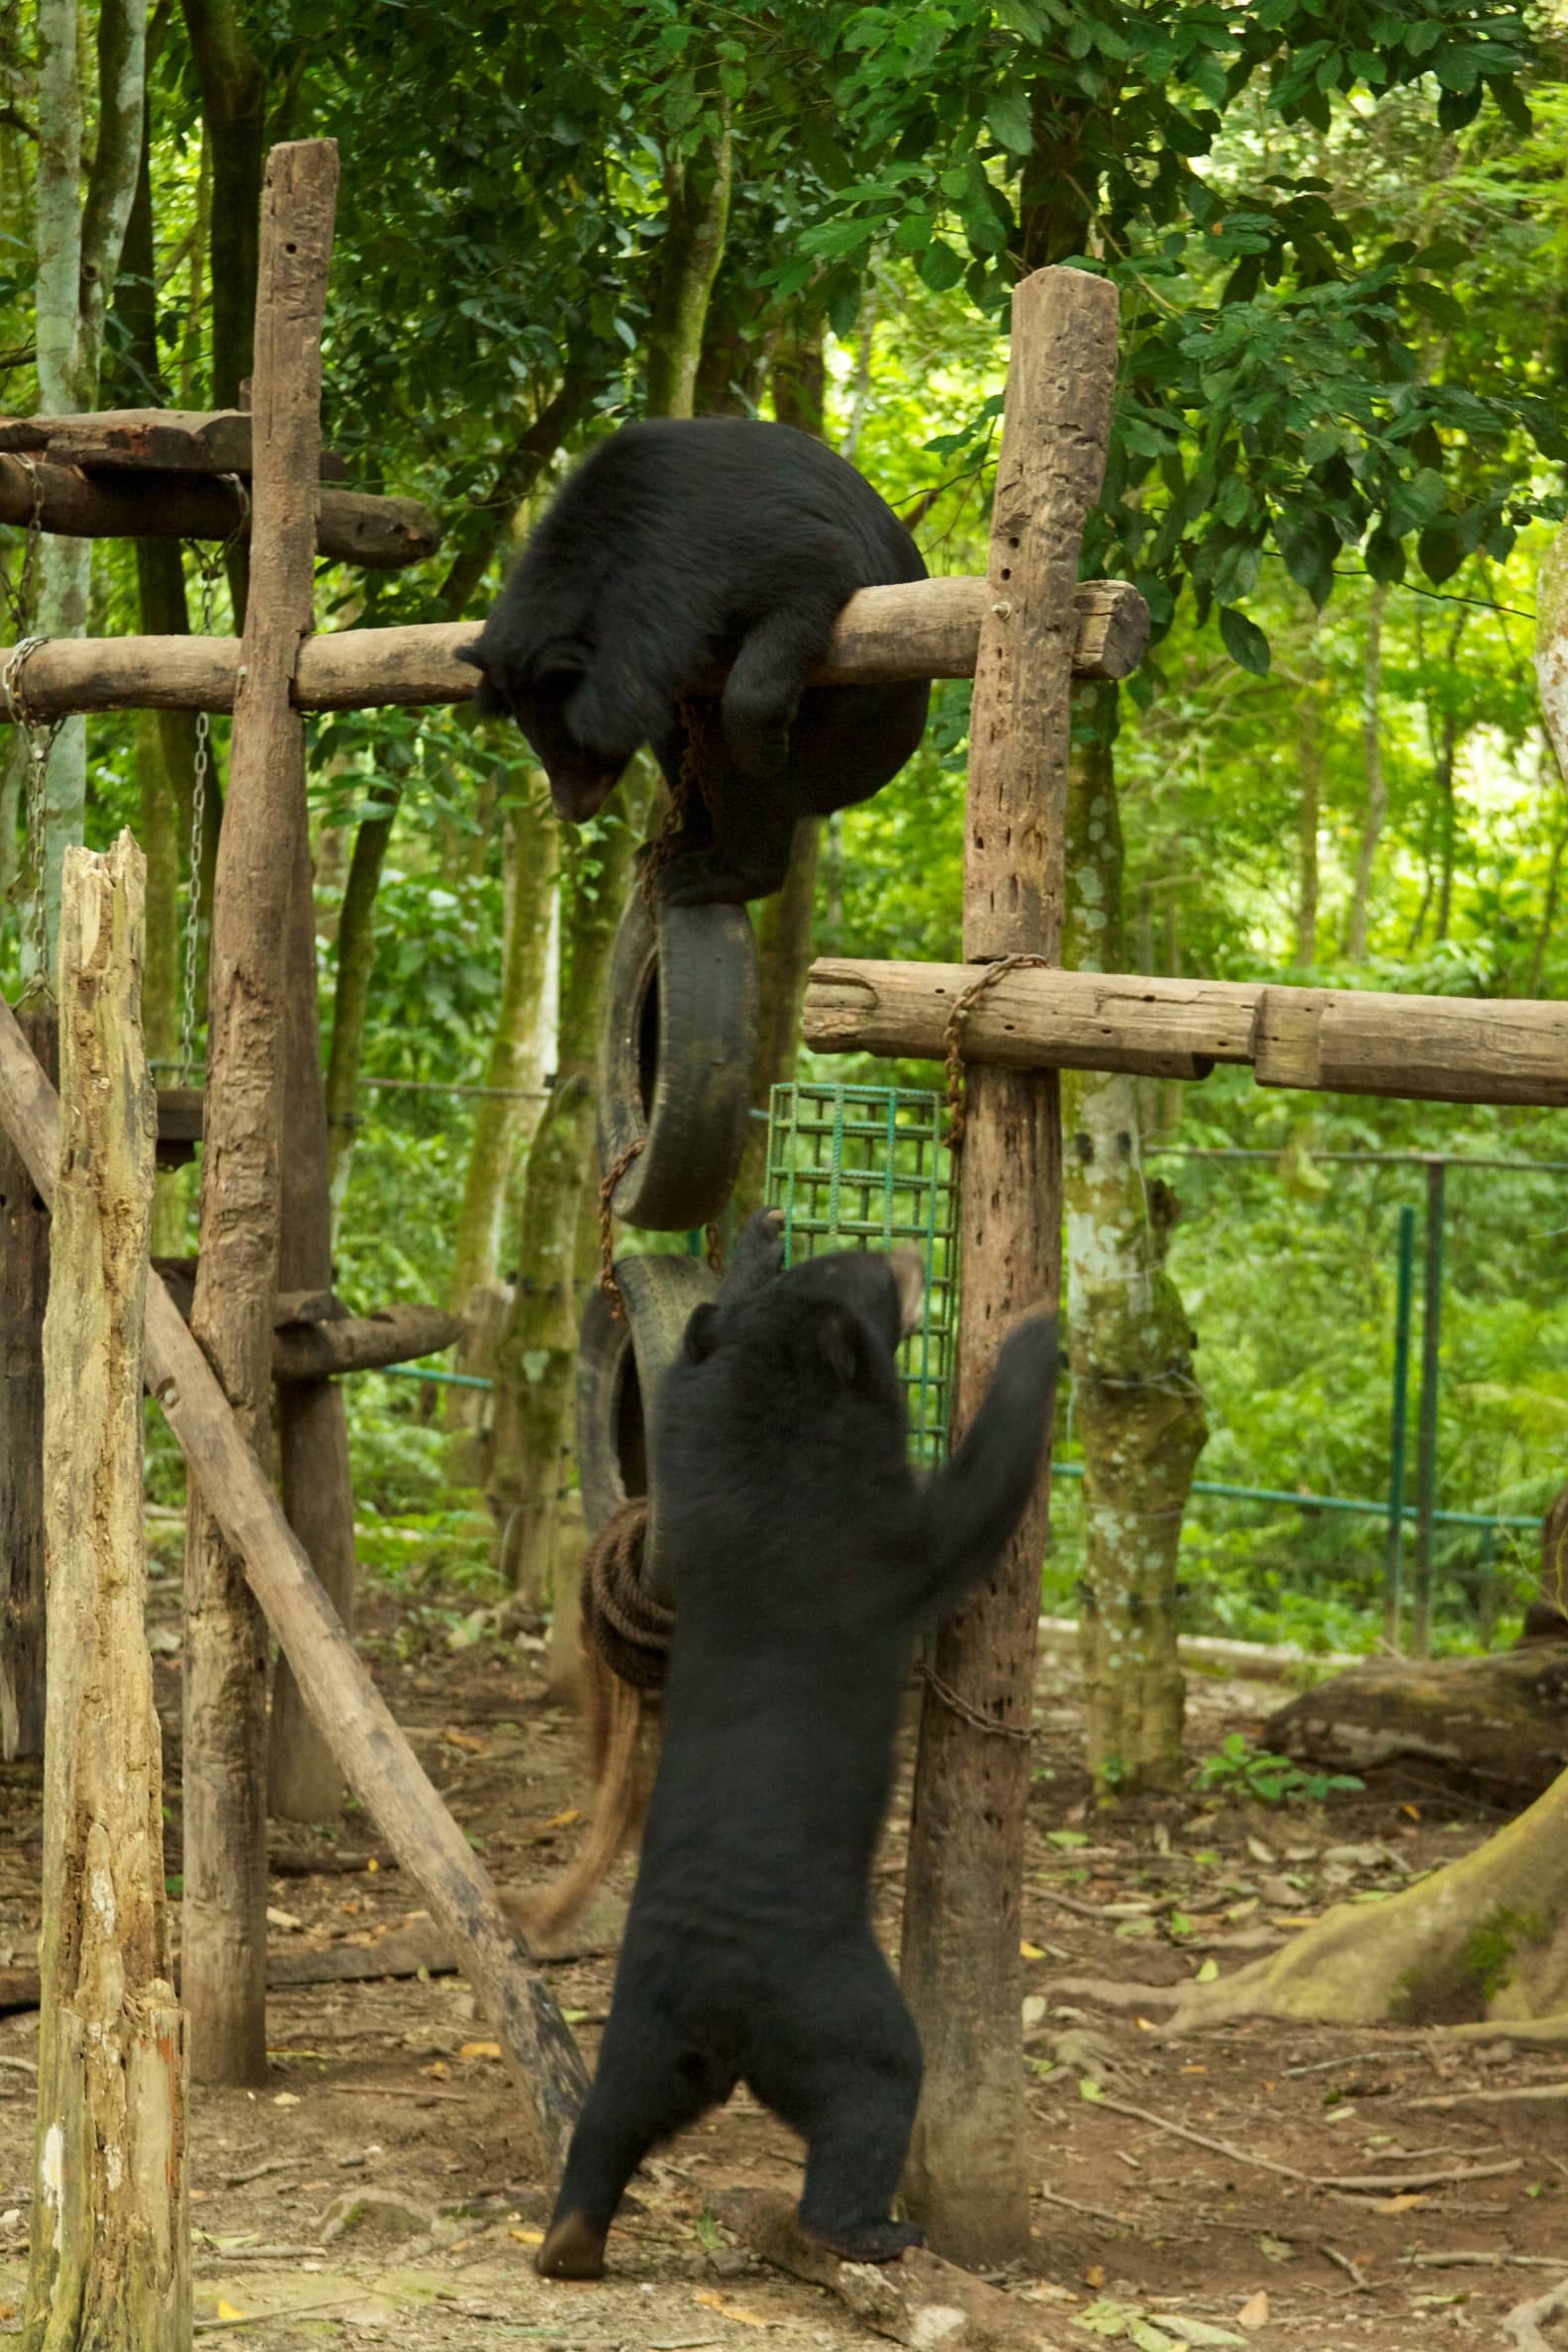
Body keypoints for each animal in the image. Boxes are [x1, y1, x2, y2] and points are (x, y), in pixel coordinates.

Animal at [459, 417, 930, 906]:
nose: (568, 810)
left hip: (852, 741)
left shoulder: (730, 548)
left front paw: (763, 752)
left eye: (572, 746)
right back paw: (681, 842)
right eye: (539, 745)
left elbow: (820, 565)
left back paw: (709, 875)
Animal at [536, 1210, 1059, 2279]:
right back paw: (871, 2229)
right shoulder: (869, 1538)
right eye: (875, 1277)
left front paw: (755, 1239)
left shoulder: (704, 1446)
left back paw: (566, 2243)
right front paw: (1039, 1334)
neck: (777, 1431)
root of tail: (714, 2000)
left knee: (609, 2118)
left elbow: (690, 1375)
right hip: (831, 2006)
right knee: (874, 2087)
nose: (906, 1251)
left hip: (643, 2035)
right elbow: (970, 1509)